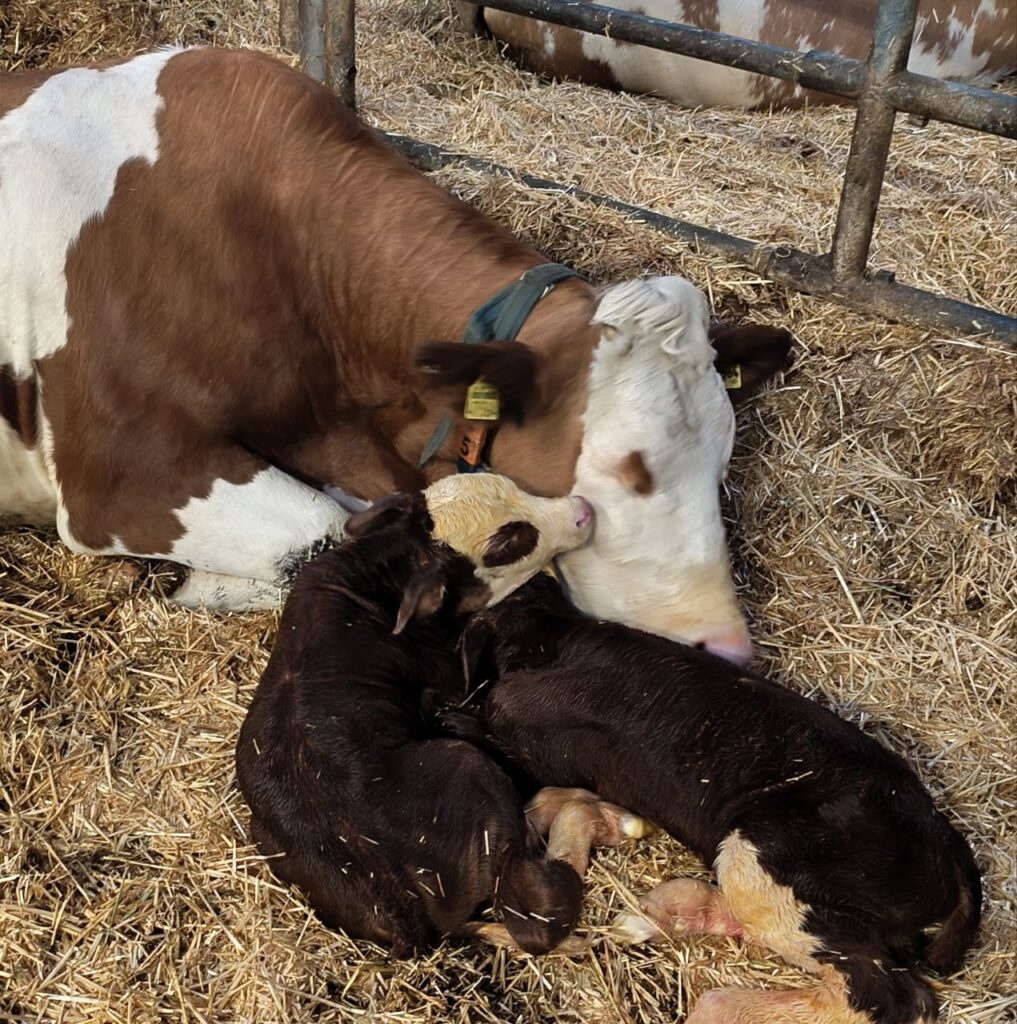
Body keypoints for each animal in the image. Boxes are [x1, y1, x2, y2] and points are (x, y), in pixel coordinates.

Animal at [236, 472, 652, 954]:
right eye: (510, 543)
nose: (583, 509)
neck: (385, 575)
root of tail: (403, 911)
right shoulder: (452, 674)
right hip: (468, 767)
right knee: (529, 917)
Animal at [447, 573, 982, 1024]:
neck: (549, 635)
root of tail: (950, 849)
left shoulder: (516, 725)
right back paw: (640, 917)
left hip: (773, 860)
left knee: (890, 996)